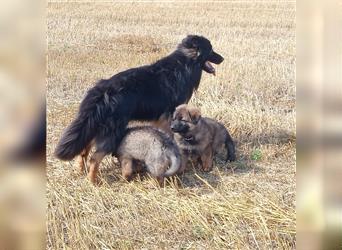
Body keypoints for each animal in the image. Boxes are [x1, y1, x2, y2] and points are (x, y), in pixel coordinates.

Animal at [54, 34, 223, 184]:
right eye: (210, 49)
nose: (222, 58)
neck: (185, 63)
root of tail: (102, 91)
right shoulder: (170, 117)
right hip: (111, 132)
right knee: (94, 158)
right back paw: (93, 182)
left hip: (93, 128)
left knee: (84, 151)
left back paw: (81, 172)